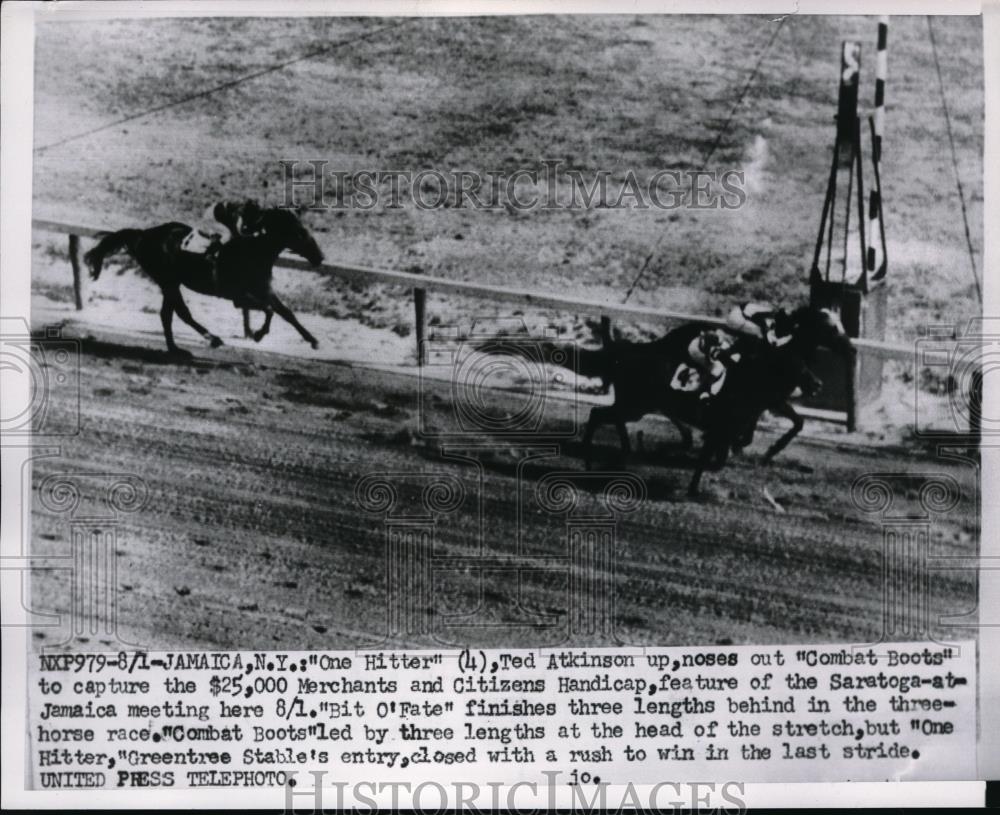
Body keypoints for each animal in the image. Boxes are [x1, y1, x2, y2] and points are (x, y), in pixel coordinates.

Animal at [83, 206, 324, 356]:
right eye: (300, 233)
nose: (320, 257)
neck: (252, 253)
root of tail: (143, 234)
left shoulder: (265, 291)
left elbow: (286, 312)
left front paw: (313, 340)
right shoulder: (239, 297)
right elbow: (269, 310)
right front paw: (258, 334)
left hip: (170, 282)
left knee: (167, 314)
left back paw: (175, 349)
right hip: (168, 280)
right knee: (182, 313)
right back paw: (212, 339)